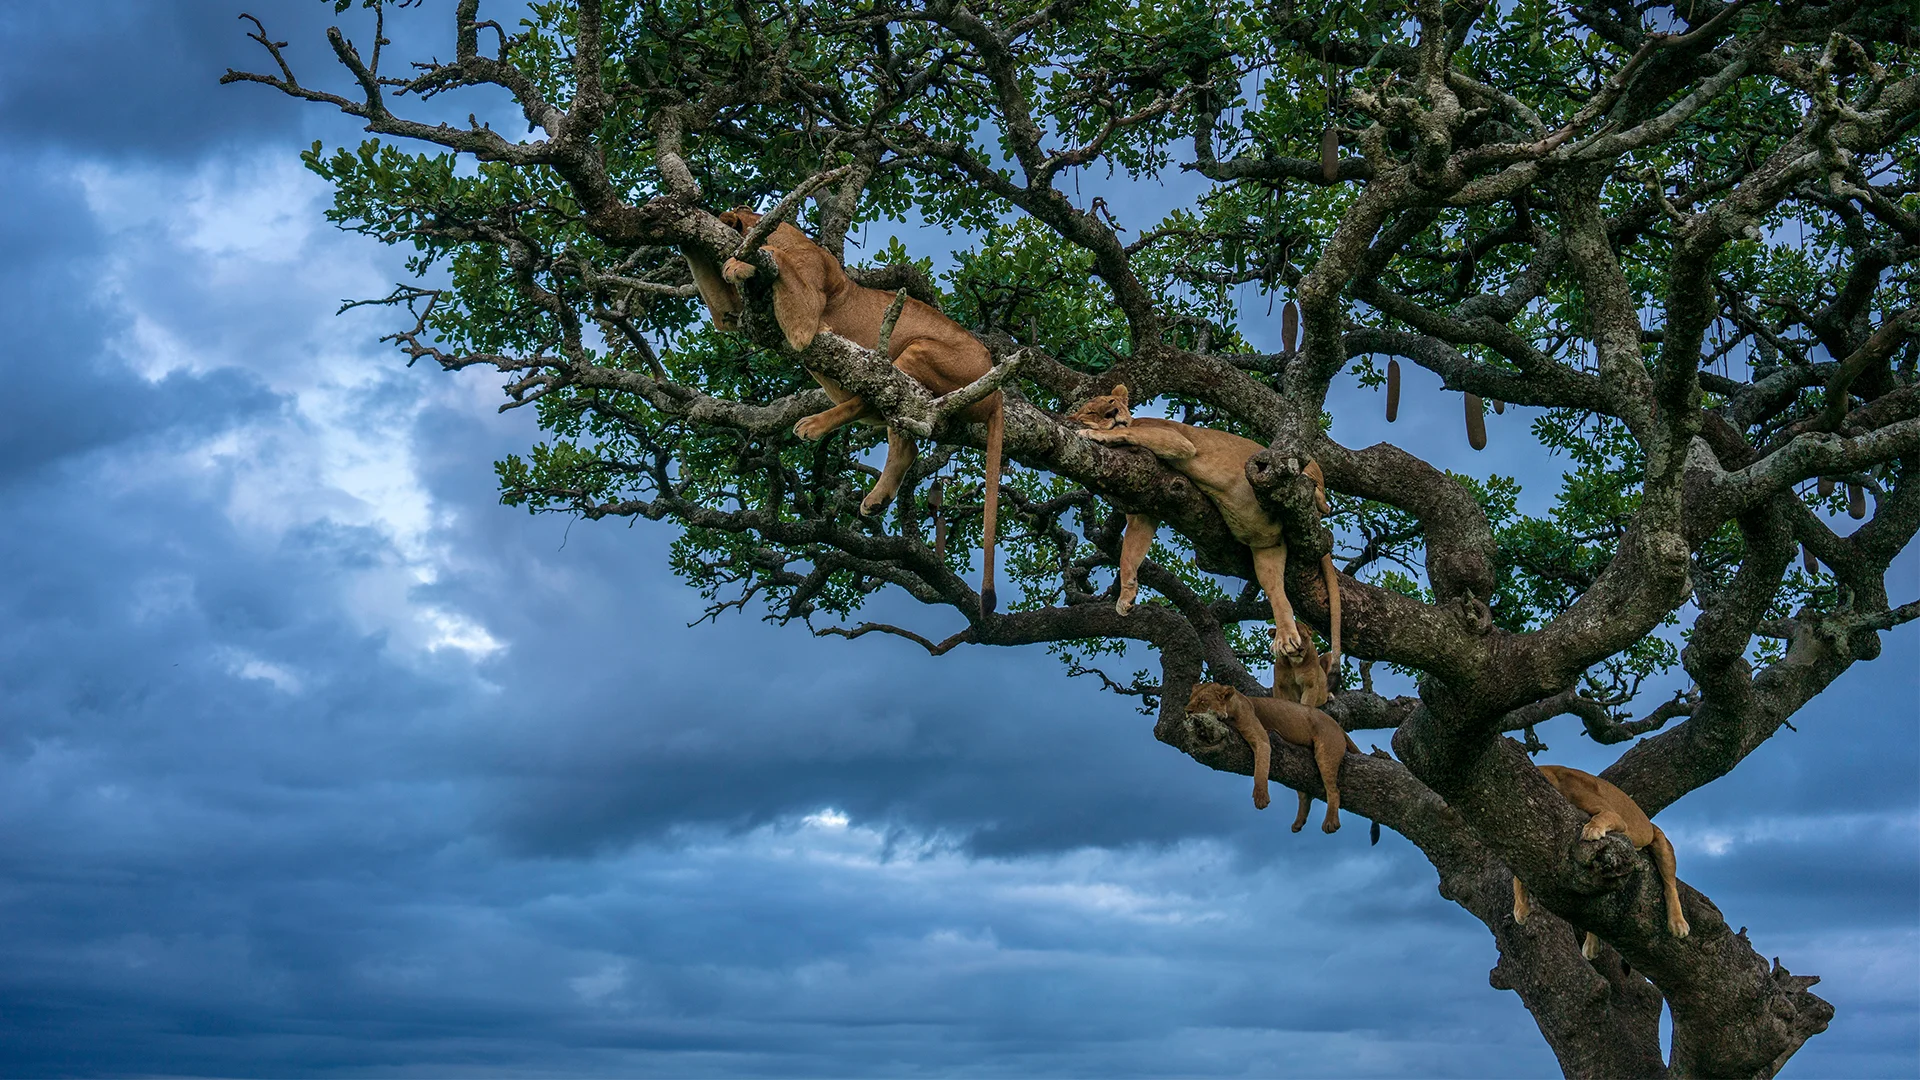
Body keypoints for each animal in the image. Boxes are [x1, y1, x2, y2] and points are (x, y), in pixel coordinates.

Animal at [688, 209, 1005, 614]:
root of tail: (997, 390)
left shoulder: (805, 317)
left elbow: (782, 266)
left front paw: (741, 260)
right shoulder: (738, 314)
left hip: (916, 350)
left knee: (872, 396)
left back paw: (813, 424)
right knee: (905, 443)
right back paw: (876, 499)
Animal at [1066, 384, 1340, 667]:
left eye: (1111, 402)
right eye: (1091, 411)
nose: (1111, 414)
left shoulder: (1176, 439)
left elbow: (1128, 431)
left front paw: (1094, 433)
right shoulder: (1144, 512)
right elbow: (1128, 554)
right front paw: (1125, 597)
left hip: (1298, 471)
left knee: (1320, 498)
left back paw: (1315, 495)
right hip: (1267, 551)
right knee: (1277, 592)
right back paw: (1287, 639)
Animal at [1186, 682, 1358, 832]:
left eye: (1203, 700)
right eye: (1190, 698)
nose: (1187, 711)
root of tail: (1338, 726)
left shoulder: (1261, 738)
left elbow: (1260, 769)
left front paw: (1261, 797)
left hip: (1326, 753)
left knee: (1334, 791)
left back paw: (1330, 822)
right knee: (1304, 793)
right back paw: (1298, 823)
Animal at [1512, 764, 1690, 959]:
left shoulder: (1614, 816)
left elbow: (1600, 817)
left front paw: (1592, 830)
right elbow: (1517, 872)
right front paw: (1520, 907)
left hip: (1661, 843)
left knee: (1670, 886)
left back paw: (1678, 924)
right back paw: (1591, 944)